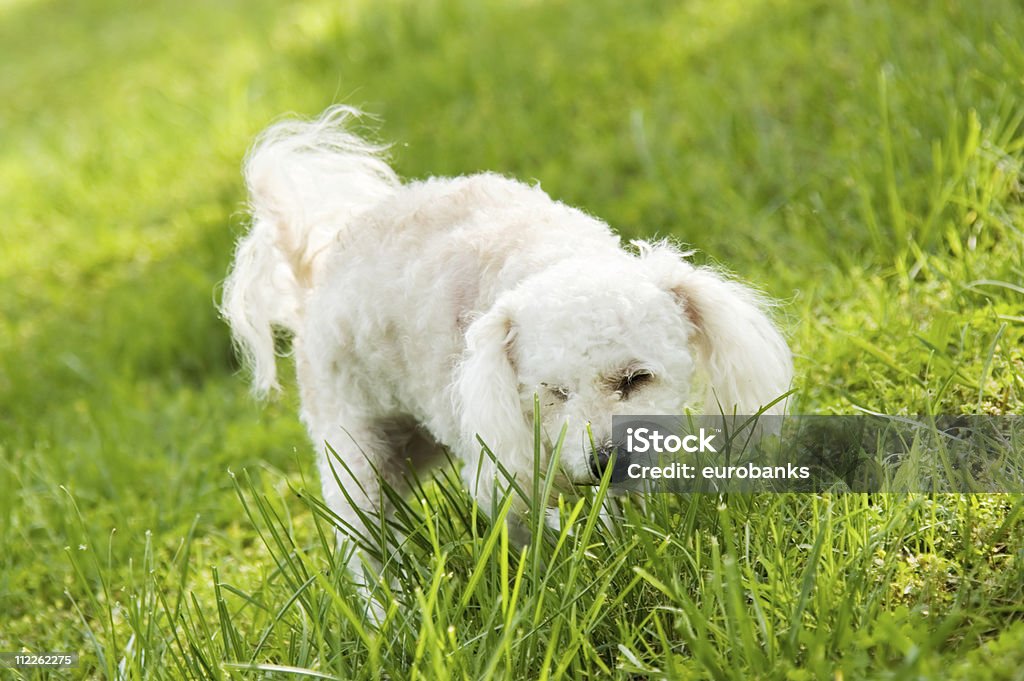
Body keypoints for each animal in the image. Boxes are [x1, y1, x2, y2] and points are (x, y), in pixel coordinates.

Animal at [220, 109, 786, 557]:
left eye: (637, 378)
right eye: (552, 393)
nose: (604, 462)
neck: (550, 256)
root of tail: (315, 273)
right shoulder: (502, 459)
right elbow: (526, 526)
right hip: (353, 450)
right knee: (364, 545)